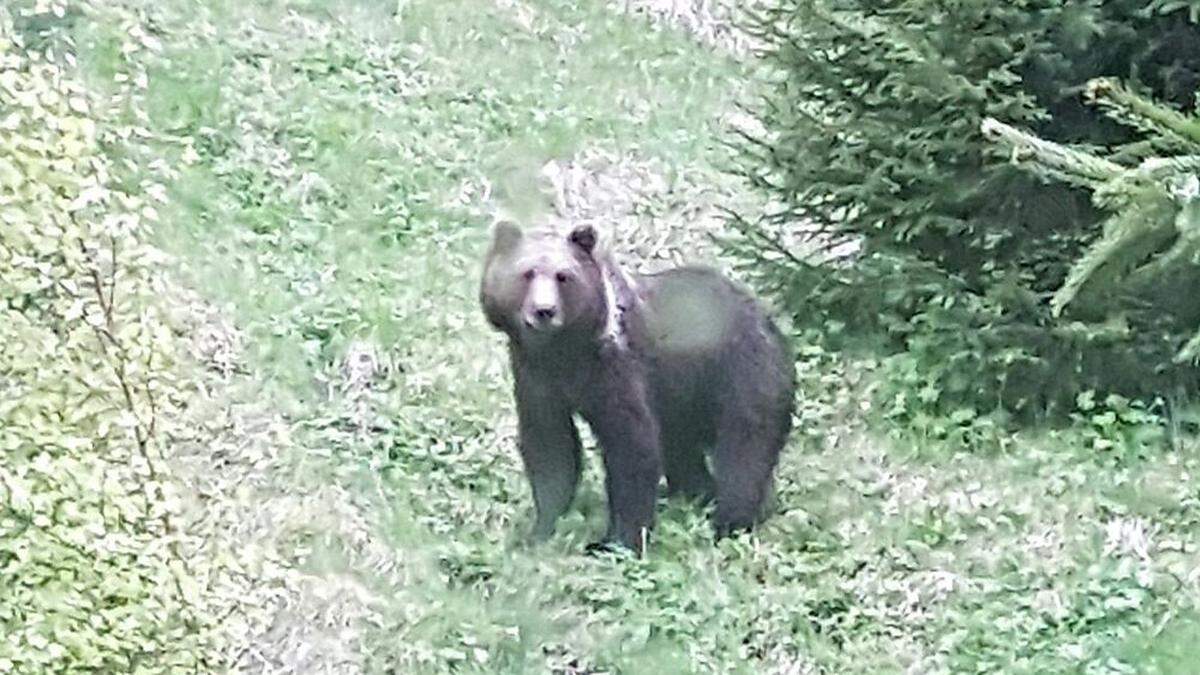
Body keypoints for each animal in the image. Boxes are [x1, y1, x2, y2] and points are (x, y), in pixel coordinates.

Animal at [477, 220, 796, 552]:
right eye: (527, 273)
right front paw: (541, 529)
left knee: (744, 450)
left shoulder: (616, 370)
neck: (566, 351)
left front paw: (616, 541)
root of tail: (772, 320)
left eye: (563, 276)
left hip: (743, 374)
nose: (544, 310)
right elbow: (550, 447)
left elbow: (631, 447)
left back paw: (731, 520)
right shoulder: (536, 378)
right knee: (682, 449)